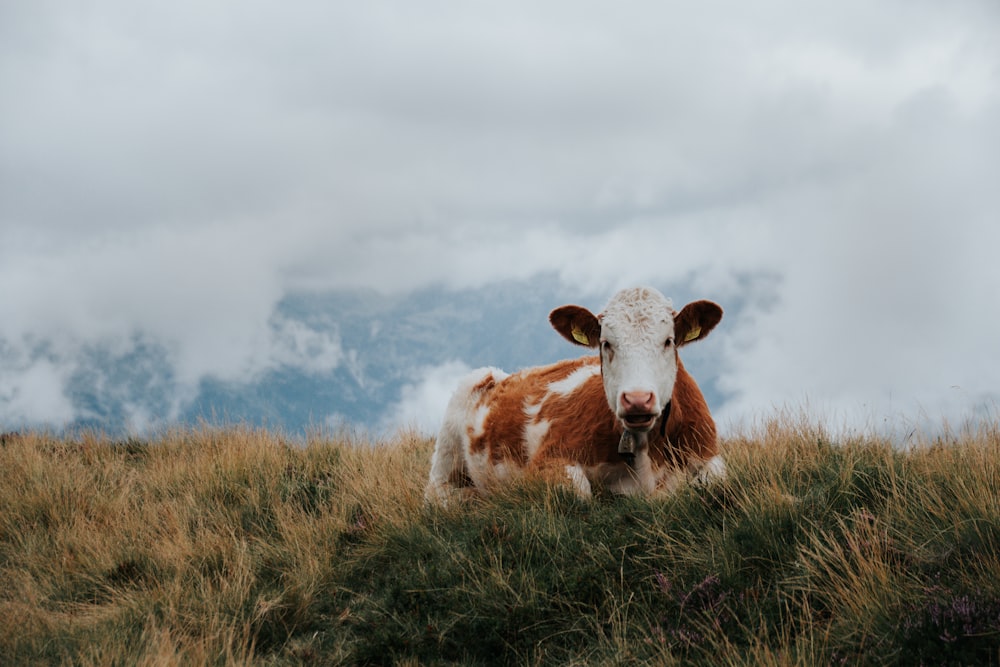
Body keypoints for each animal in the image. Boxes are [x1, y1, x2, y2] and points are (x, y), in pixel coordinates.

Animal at [424, 284, 728, 504]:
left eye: (668, 341)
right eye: (606, 343)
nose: (637, 399)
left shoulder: (707, 453)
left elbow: (715, 481)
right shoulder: (547, 460)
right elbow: (578, 491)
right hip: (449, 443)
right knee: (438, 495)